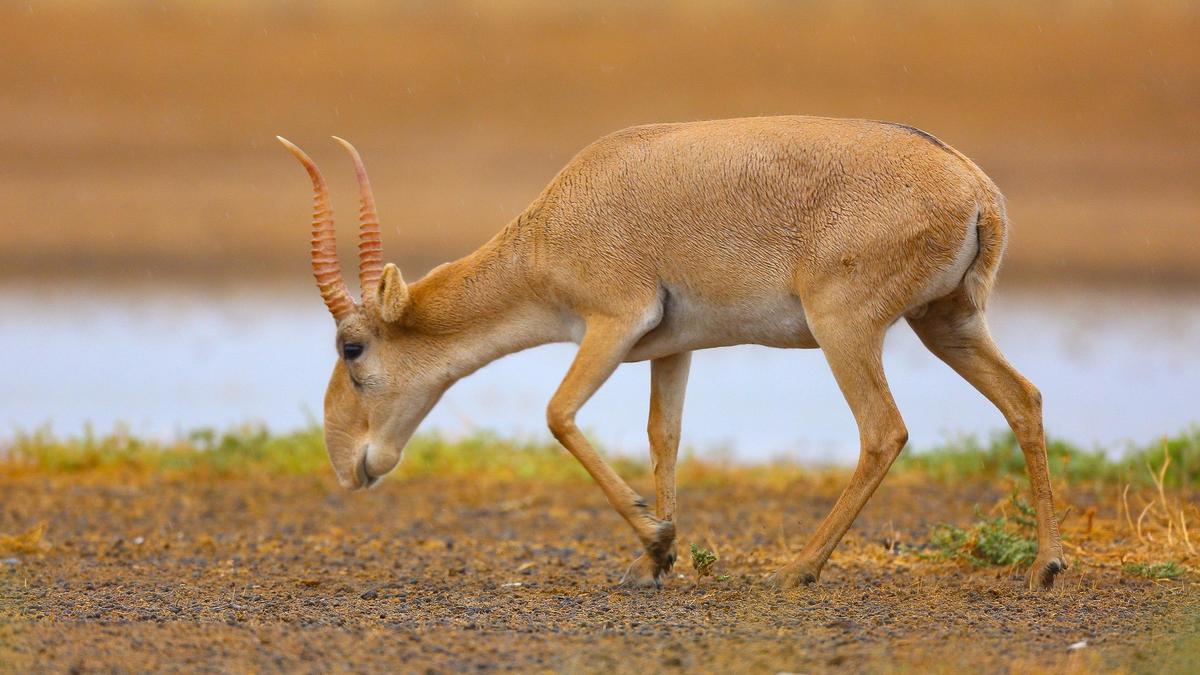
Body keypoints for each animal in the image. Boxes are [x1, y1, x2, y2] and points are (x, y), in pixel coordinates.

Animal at [278, 117, 1070, 588]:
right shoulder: (673, 349)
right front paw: (658, 557)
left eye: (352, 346)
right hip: (948, 323)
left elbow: (557, 413)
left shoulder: (612, 322)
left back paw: (797, 571)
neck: (557, 221)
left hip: (846, 330)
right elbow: (665, 436)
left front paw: (658, 541)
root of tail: (975, 189)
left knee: (884, 430)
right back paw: (1046, 567)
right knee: (1025, 397)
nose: (348, 463)